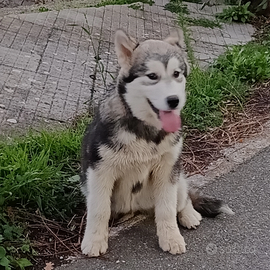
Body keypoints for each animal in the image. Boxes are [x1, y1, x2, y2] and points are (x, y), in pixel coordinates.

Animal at [79, 29, 232, 258]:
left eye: (177, 74)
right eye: (152, 76)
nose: (174, 101)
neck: (146, 131)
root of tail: (135, 209)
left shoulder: (167, 170)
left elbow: (167, 209)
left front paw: (171, 237)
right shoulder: (100, 172)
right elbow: (99, 209)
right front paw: (95, 240)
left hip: (177, 175)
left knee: (182, 198)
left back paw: (189, 214)